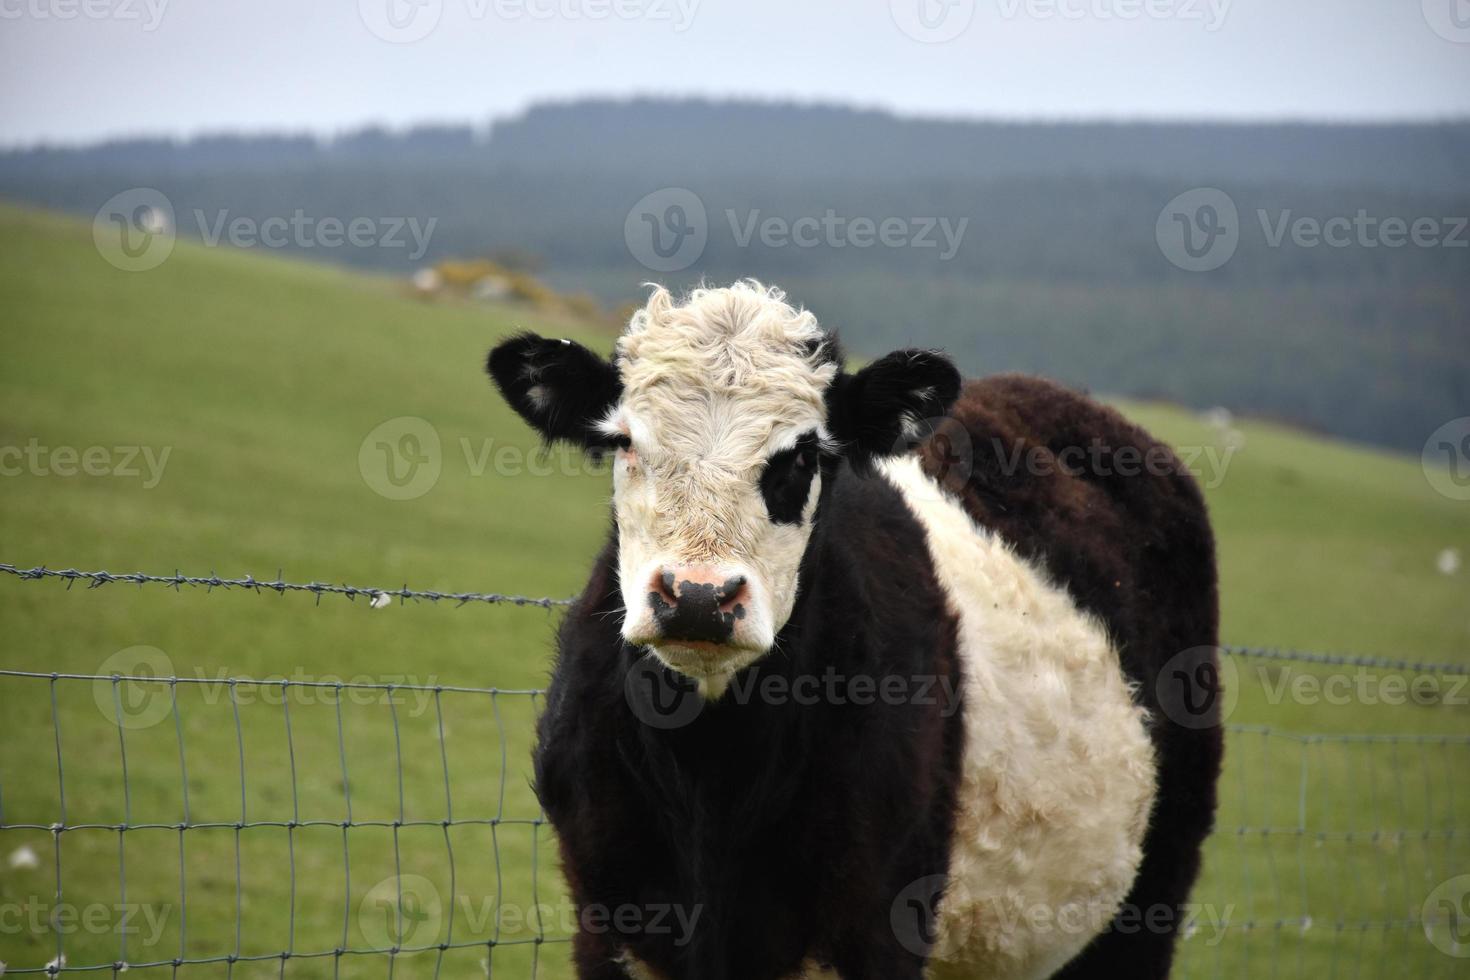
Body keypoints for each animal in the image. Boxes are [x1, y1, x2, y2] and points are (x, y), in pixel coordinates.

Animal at [488, 282, 1223, 980]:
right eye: (625, 441)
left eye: (803, 455)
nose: (698, 597)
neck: (710, 785)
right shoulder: (606, 929)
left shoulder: (878, 930)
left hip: (1154, 887)